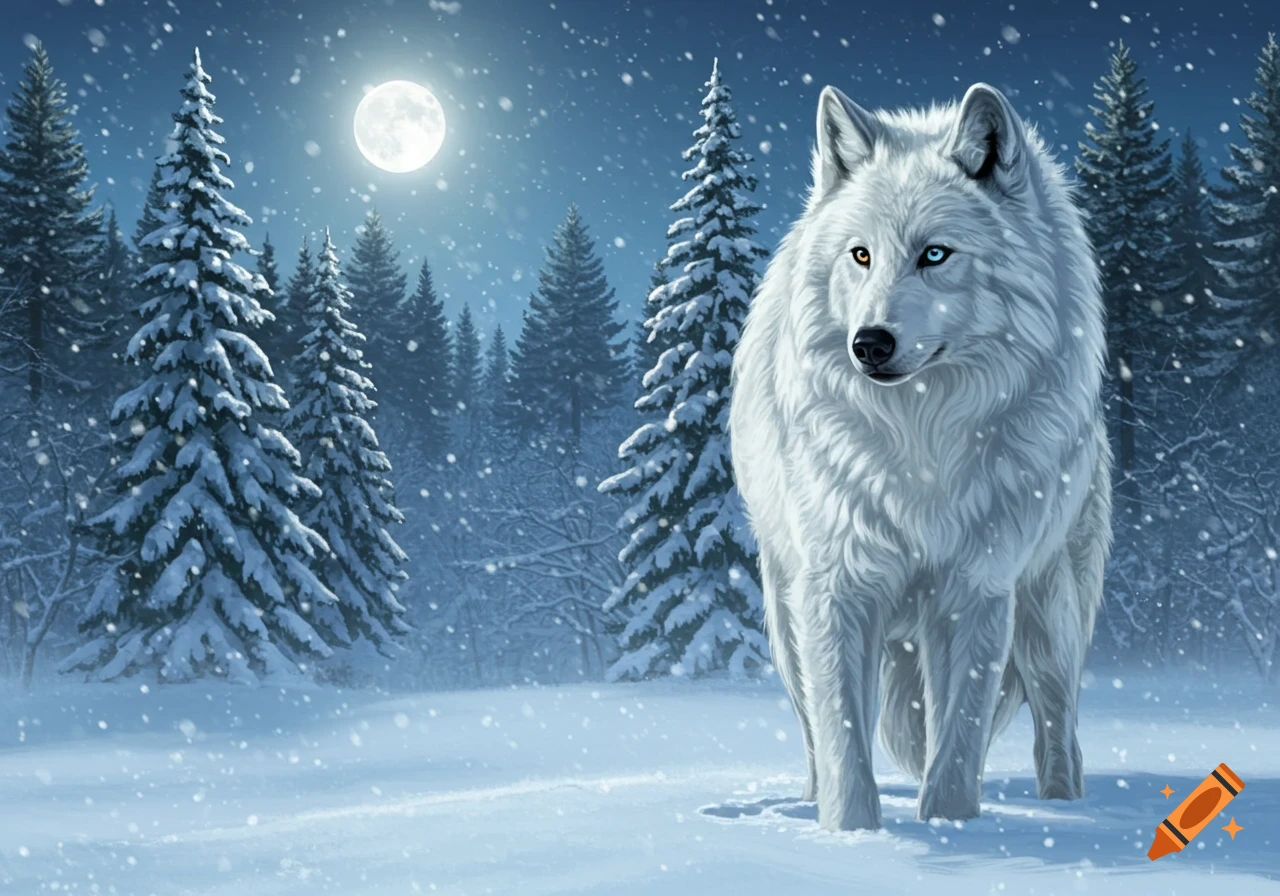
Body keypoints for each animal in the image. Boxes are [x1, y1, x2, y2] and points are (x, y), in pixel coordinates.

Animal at [729, 82, 1111, 831]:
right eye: (860, 256)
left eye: (935, 255)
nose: (869, 343)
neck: (921, 443)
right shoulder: (836, 586)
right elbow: (845, 738)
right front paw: (852, 836)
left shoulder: (978, 589)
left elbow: (958, 739)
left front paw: (953, 828)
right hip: (786, 617)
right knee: (814, 732)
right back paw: (807, 803)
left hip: (1049, 612)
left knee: (1058, 725)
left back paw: (1069, 811)